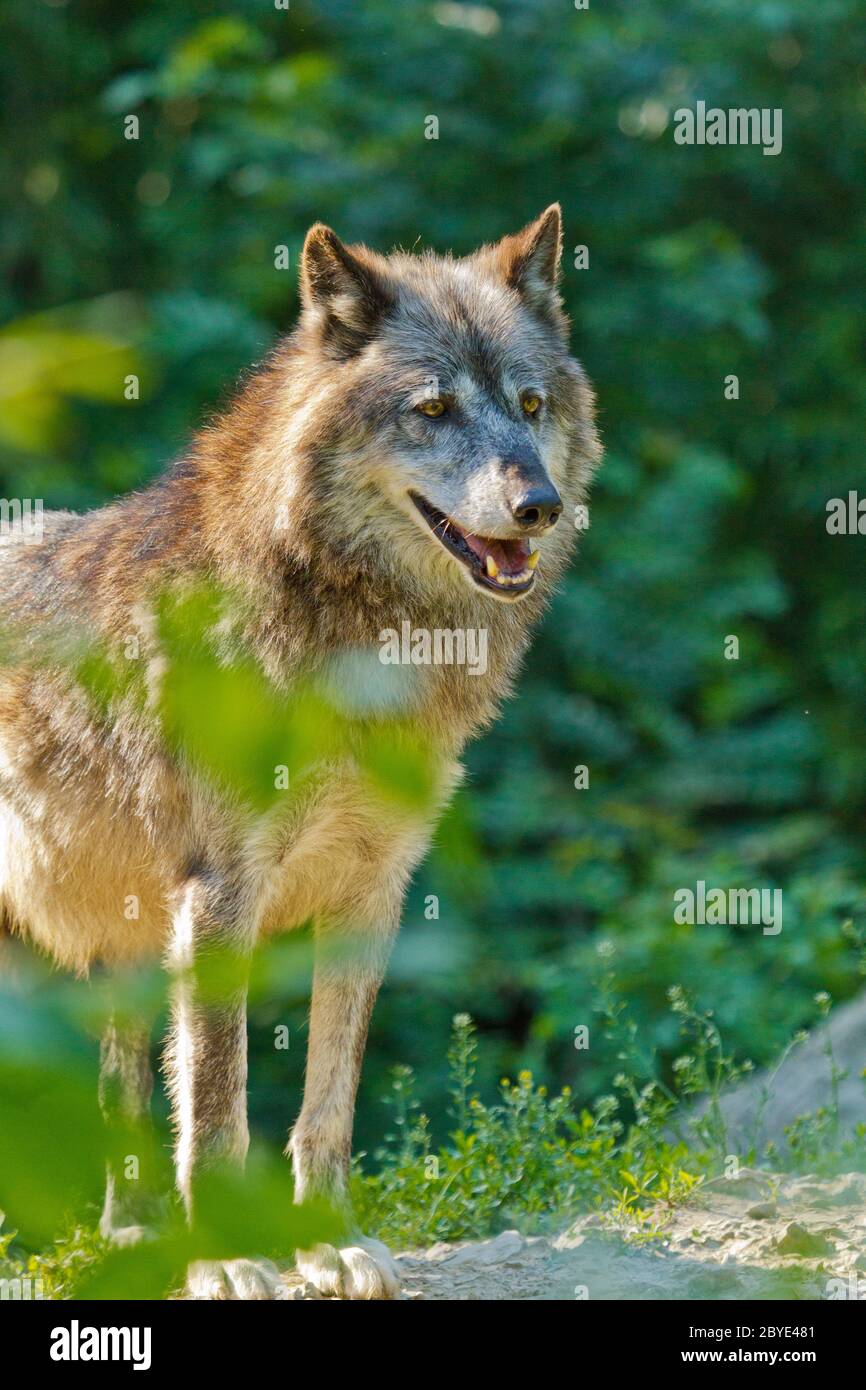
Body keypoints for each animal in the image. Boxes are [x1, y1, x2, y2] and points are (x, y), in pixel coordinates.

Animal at [0, 202, 600, 1289]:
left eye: (530, 405)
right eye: (434, 409)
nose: (538, 504)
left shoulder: (373, 894)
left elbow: (326, 1109)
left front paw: (329, 1243)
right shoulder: (217, 901)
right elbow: (219, 1113)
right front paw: (227, 1262)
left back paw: (128, 1238)